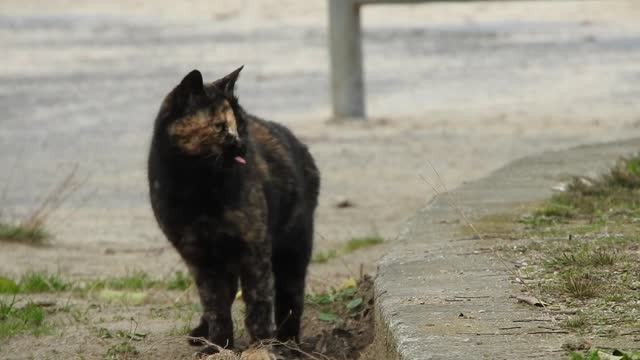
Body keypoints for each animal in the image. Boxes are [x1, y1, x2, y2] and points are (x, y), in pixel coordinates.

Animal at [149, 66, 320, 352]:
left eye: (239, 123)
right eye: (220, 126)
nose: (241, 144)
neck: (196, 189)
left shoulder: (254, 247)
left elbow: (258, 302)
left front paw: (262, 345)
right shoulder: (198, 257)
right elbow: (215, 305)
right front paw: (218, 346)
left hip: (293, 249)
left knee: (290, 298)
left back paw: (288, 343)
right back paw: (202, 332)